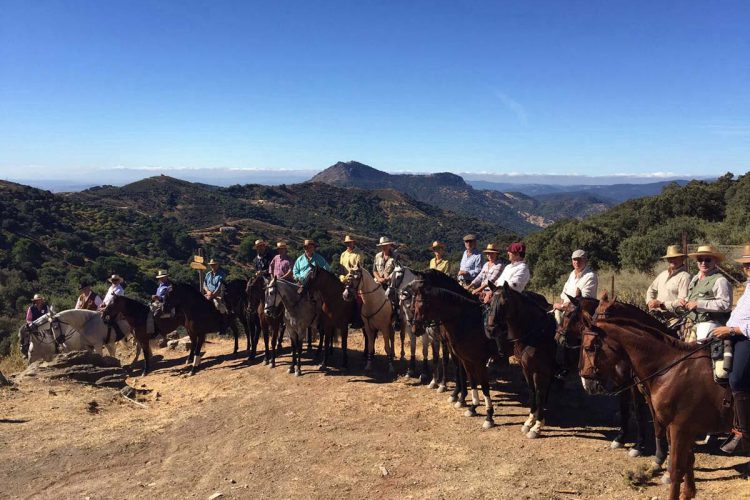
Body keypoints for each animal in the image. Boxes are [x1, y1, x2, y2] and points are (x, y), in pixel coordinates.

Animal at [408, 270, 496, 430]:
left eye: (422, 302)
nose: (415, 328)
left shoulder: (458, 350)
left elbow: (453, 366)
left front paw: (459, 396)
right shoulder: (452, 347)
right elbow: (458, 369)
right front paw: (458, 396)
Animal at [488, 282, 560, 438]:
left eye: (504, 303)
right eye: (489, 302)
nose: (491, 329)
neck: (535, 334)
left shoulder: (539, 372)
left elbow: (538, 394)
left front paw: (537, 426)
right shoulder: (527, 369)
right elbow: (532, 392)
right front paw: (529, 421)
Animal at [580, 294, 736, 498]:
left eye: (589, 348)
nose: (587, 383)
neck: (670, 367)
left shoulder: (679, 427)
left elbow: (677, 468)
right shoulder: (671, 419)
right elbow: (684, 456)